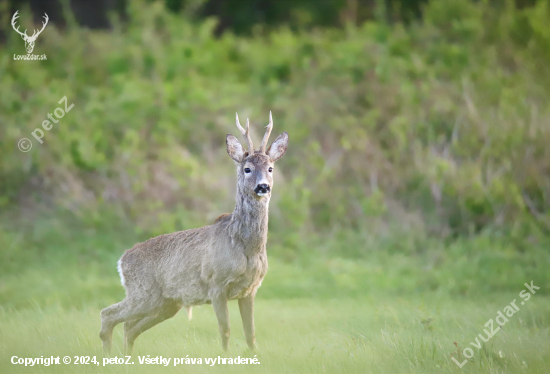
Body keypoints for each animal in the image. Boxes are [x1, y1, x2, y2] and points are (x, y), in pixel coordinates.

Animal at [99, 111, 292, 354]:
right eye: (247, 168)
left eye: (270, 168)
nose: (263, 186)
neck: (245, 247)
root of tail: (122, 260)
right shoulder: (216, 284)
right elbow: (225, 330)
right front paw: (226, 357)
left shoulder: (250, 290)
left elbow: (251, 334)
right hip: (143, 293)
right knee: (108, 315)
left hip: (165, 302)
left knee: (129, 327)